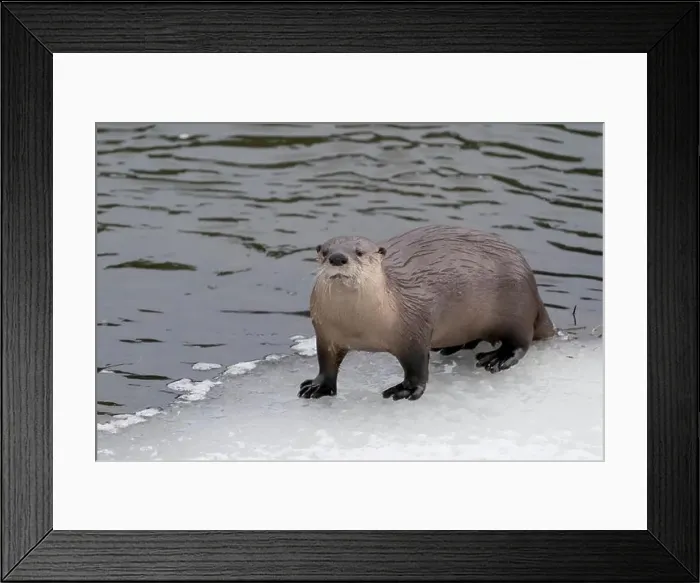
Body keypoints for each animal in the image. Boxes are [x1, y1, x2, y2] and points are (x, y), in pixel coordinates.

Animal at [298, 224, 556, 401]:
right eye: (325, 252)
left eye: (359, 252)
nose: (337, 258)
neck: (358, 327)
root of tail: (532, 287)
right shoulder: (326, 335)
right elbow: (326, 364)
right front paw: (318, 386)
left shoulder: (414, 330)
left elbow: (417, 367)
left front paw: (406, 389)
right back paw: (452, 347)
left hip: (517, 307)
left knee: (521, 341)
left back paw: (498, 358)